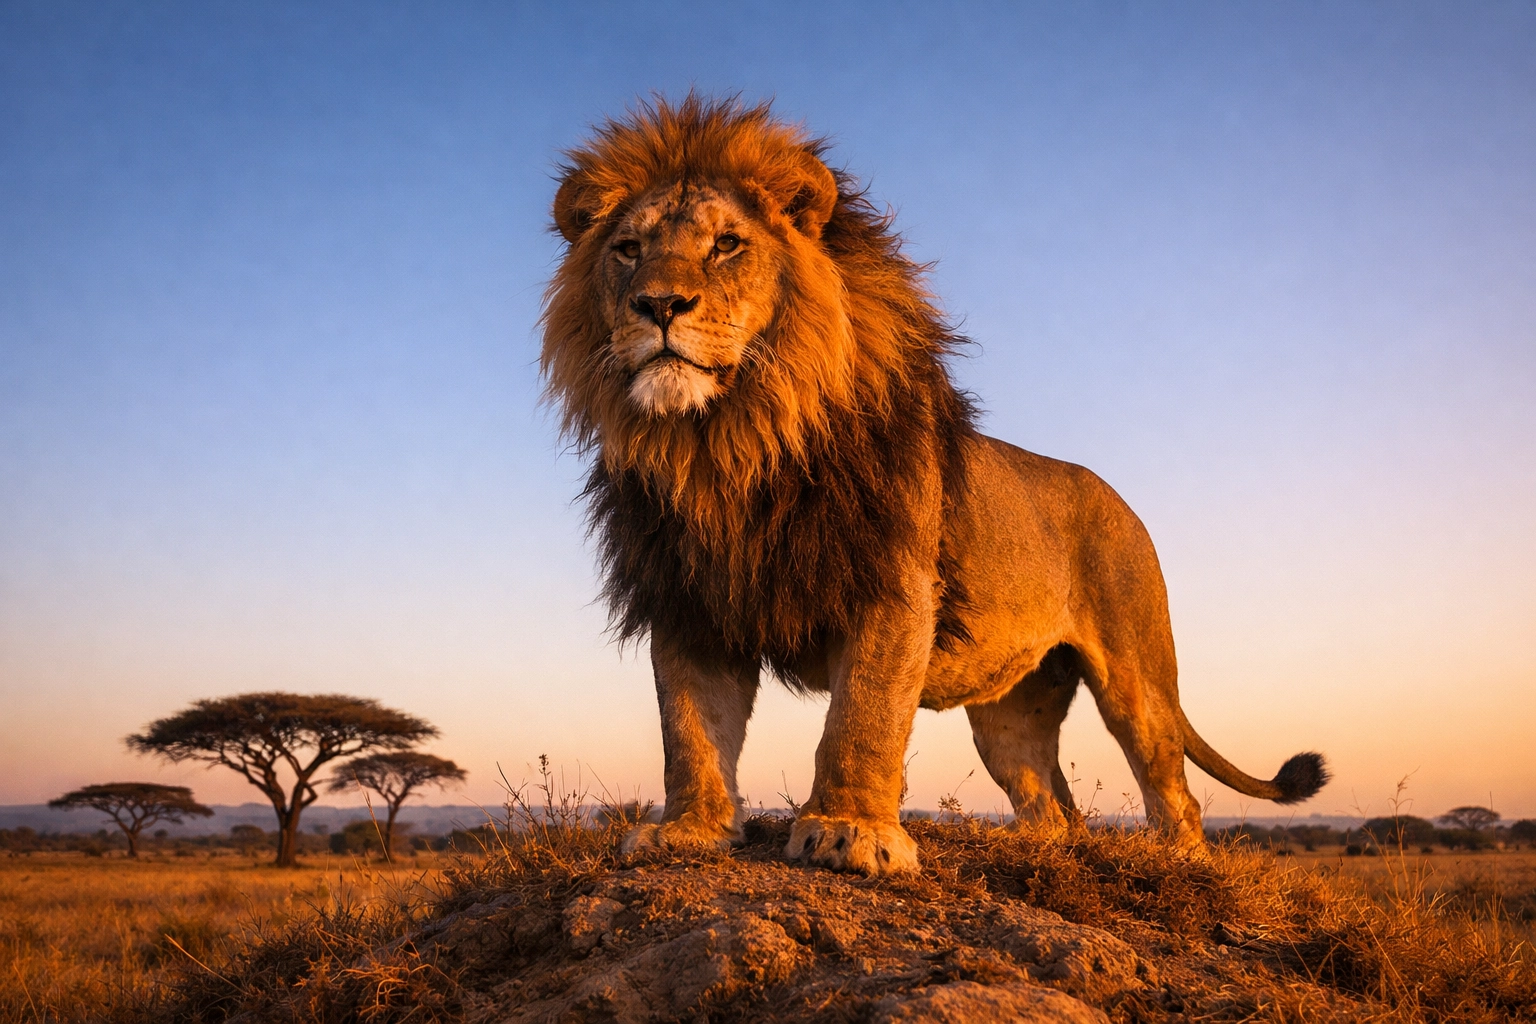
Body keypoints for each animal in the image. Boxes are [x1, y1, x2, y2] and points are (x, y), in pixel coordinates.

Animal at [541, 96, 1327, 875]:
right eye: (628, 250)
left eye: (728, 244)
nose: (658, 306)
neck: (726, 443)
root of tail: (1120, 500)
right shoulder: (686, 598)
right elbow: (690, 729)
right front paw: (689, 831)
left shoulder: (892, 583)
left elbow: (862, 716)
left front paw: (850, 831)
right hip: (1013, 708)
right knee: (1052, 803)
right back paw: (1029, 848)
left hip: (1137, 674)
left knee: (1172, 787)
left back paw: (1182, 861)